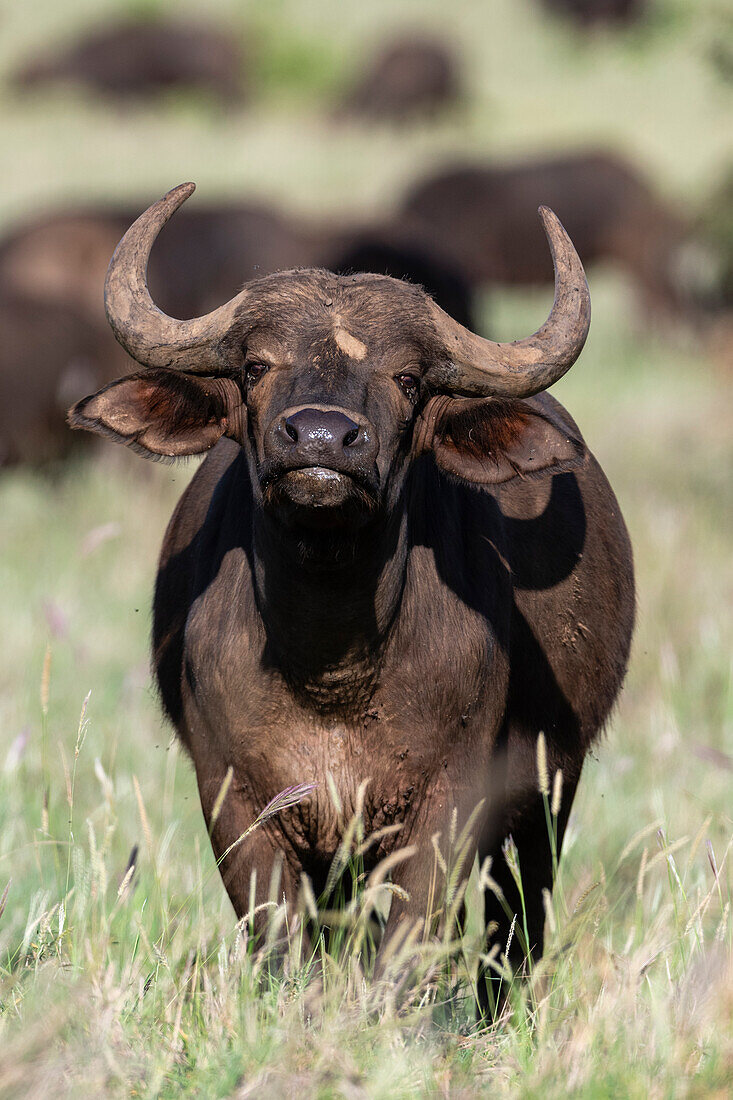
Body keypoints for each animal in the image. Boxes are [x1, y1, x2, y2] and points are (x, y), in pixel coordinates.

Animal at [67, 182, 633, 1012]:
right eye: (256, 365)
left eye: (408, 379)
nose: (321, 441)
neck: (330, 665)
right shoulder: (237, 801)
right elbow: (281, 943)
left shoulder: (448, 804)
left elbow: (410, 944)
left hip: (549, 793)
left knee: (513, 923)